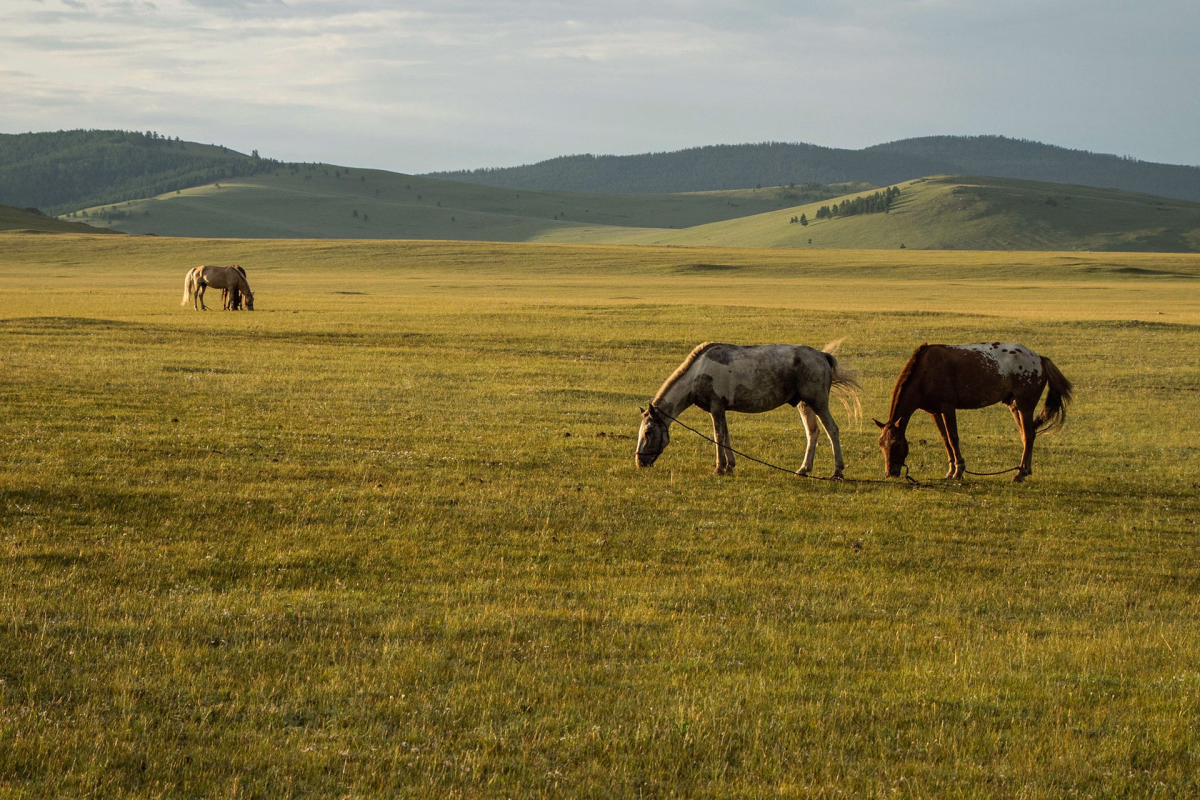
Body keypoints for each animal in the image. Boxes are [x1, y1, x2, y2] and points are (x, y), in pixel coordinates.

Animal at [636, 341, 862, 477]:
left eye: (648, 432)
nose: (639, 462)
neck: (699, 372)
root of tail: (822, 356)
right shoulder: (721, 410)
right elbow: (726, 437)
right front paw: (730, 466)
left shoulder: (716, 408)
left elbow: (718, 436)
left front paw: (719, 467)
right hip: (804, 403)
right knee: (812, 432)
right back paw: (803, 469)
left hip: (818, 402)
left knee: (832, 430)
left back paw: (838, 472)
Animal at [874, 342, 1073, 482]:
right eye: (881, 444)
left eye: (896, 444)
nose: (890, 473)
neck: (926, 372)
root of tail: (1039, 358)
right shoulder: (935, 412)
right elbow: (945, 439)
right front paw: (951, 470)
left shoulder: (947, 407)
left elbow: (953, 437)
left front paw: (959, 471)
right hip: (1015, 406)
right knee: (1027, 435)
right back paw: (1024, 470)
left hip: (1025, 406)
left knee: (1030, 435)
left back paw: (1020, 473)